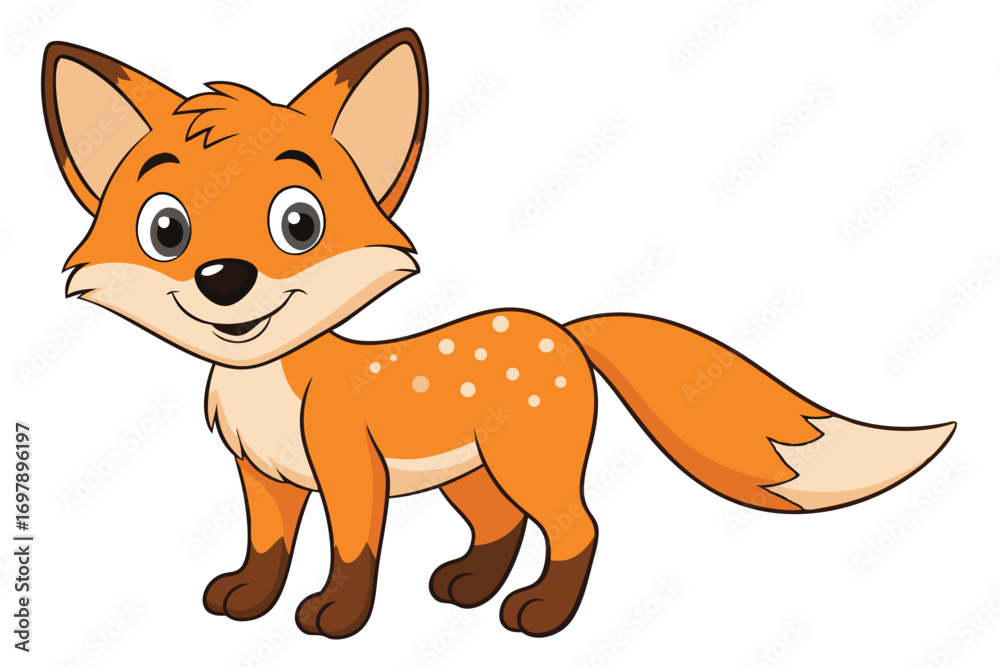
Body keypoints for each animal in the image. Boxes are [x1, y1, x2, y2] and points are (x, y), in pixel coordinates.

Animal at [42, 28, 956, 639]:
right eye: (166, 229)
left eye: (298, 222)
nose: (224, 278)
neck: (271, 383)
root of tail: (563, 328)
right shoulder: (265, 477)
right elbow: (266, 547)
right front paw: (247, 599)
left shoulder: (350, 472)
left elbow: (352, 551)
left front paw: (337, 615)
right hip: (472, 473)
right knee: (500, 526)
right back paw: (469, 587)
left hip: (526, 462)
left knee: (576, 529)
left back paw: (541, 612)